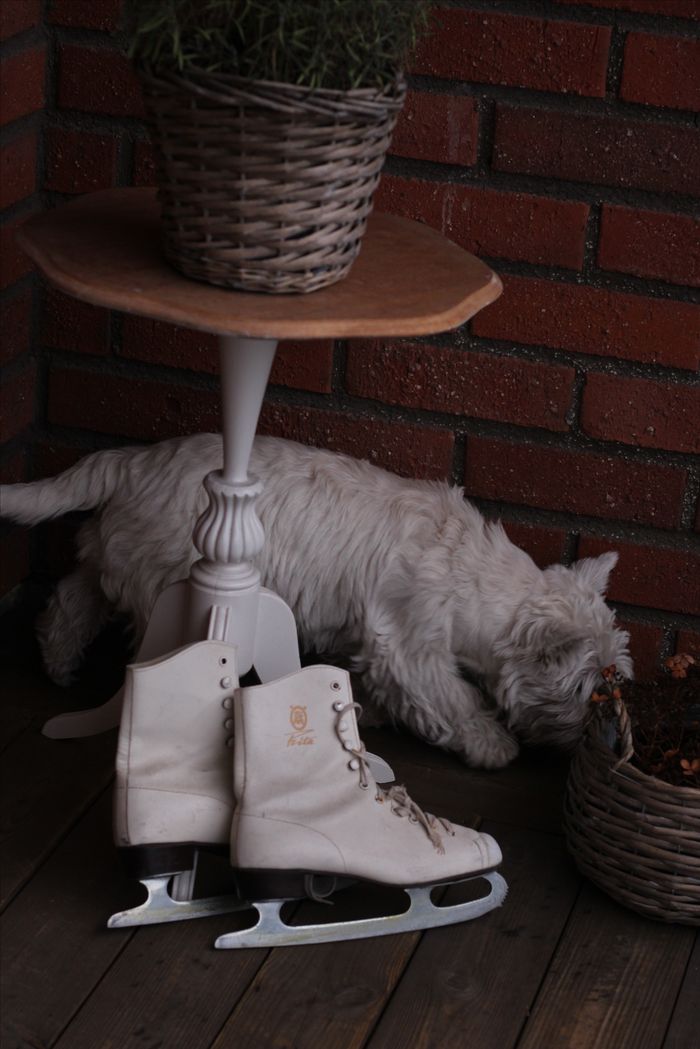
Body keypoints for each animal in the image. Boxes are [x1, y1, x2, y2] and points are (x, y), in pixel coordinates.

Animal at [0, 433, 632, 768]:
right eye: (587, 686)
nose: (595, 738)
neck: (477, 582)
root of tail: (129, 461)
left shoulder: (373, 640)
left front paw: (367, 712)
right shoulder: (409, 646)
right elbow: (451, 698)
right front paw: (492, 742)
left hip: (120, 556)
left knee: (72, 597)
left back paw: (58, 664)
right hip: (169, 583)